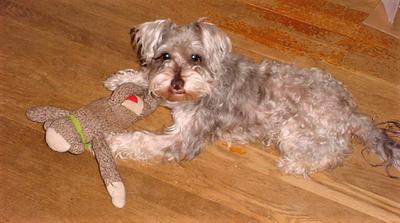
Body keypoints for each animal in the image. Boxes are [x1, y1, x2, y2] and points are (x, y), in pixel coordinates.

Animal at [104, 18, 400, 176]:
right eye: (165, 55)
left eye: (195, 58)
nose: (178, 83)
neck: (206, 83)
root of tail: (351, 113)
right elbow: (148, 79)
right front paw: (122, 79)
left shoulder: (183, 139)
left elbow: (141, 139)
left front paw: (112, 140)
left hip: (293, 130)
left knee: (331, 155)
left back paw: (294, 164)